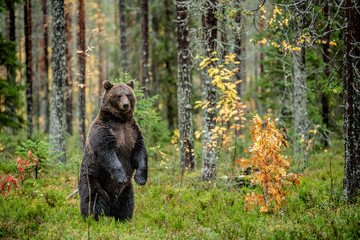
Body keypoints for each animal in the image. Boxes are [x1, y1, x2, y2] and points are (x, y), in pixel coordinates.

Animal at [78, 80, 147, 221]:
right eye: (118, 95)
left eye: (128, 94)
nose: (125, 105)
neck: (120, 120)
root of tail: (110, 208)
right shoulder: (104, 131)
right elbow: (107, 153)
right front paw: (122, 177)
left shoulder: (133, 132)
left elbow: (140, 152)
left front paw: (140, 178)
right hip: (93, 180)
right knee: (93, 200)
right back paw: (92, 218)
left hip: (126, 191)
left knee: (127, 202)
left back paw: (123, 218)